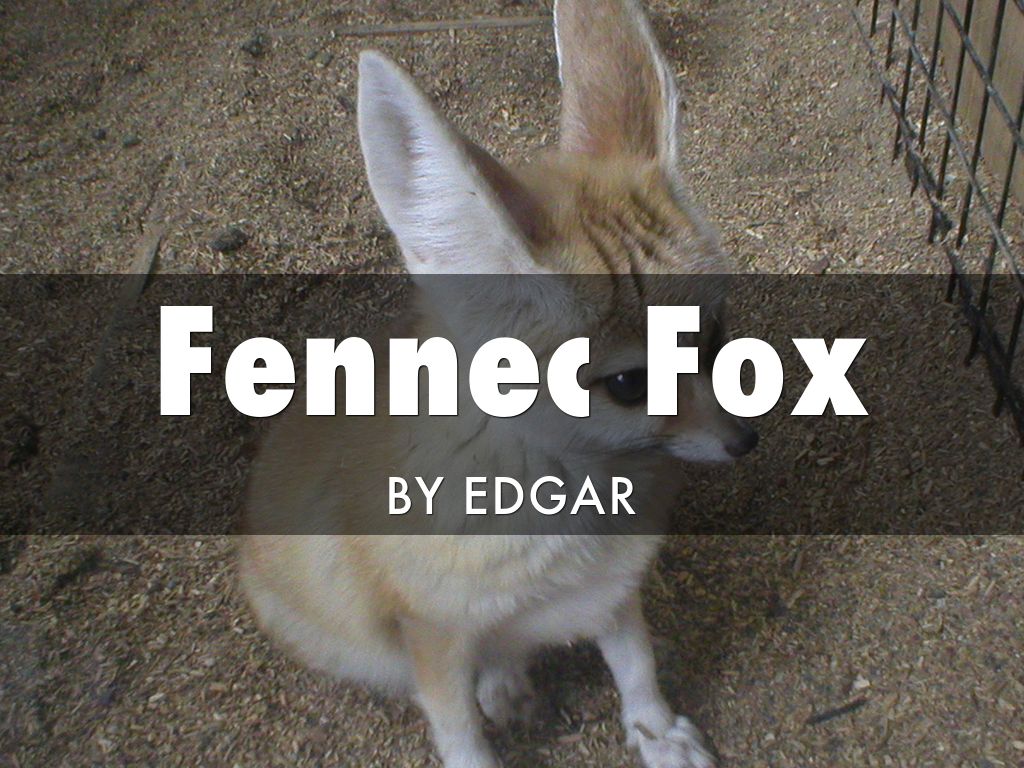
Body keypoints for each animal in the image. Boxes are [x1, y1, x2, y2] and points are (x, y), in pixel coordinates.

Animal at [238, 1, 758, 767]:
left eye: (715, 332)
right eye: (628, 383)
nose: (744, 441)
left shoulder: (612, 588)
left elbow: (637, 665)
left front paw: (656, 732)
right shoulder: (430, 634)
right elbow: (458, 732)